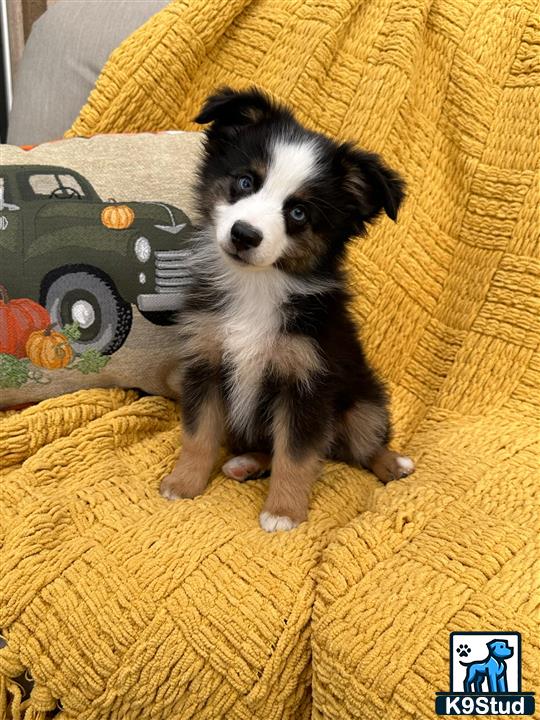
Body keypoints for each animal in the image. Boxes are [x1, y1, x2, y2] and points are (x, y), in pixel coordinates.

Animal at [158, 87, 416, 532]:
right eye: (245, 182)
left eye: (298, 212)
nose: (244, 235)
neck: (257, 287)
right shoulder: (205, 363)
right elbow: (198, 435)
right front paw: (184, 483)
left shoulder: (307, 382)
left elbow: (295, 456)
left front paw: (283, 512)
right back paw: (245, 463)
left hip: (364, 402)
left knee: (363, 446)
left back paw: (393, 464)